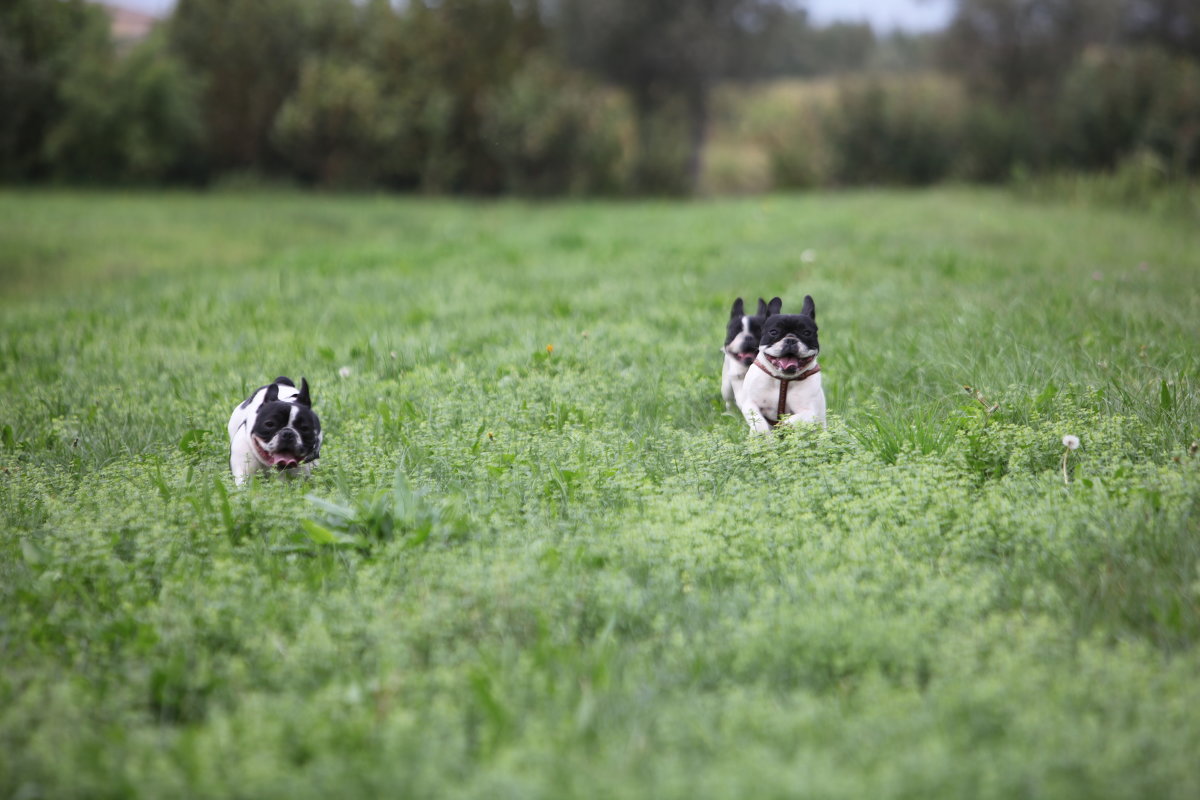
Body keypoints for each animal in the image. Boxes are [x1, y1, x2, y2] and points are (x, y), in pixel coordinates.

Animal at [739, 293, 825, 431]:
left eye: (807, 333)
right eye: (773, 332)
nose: (790, 339)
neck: (783, 380)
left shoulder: (810, 412)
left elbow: (789, 421)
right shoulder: (749, 403)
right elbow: (758, 420)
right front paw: (763, 432)